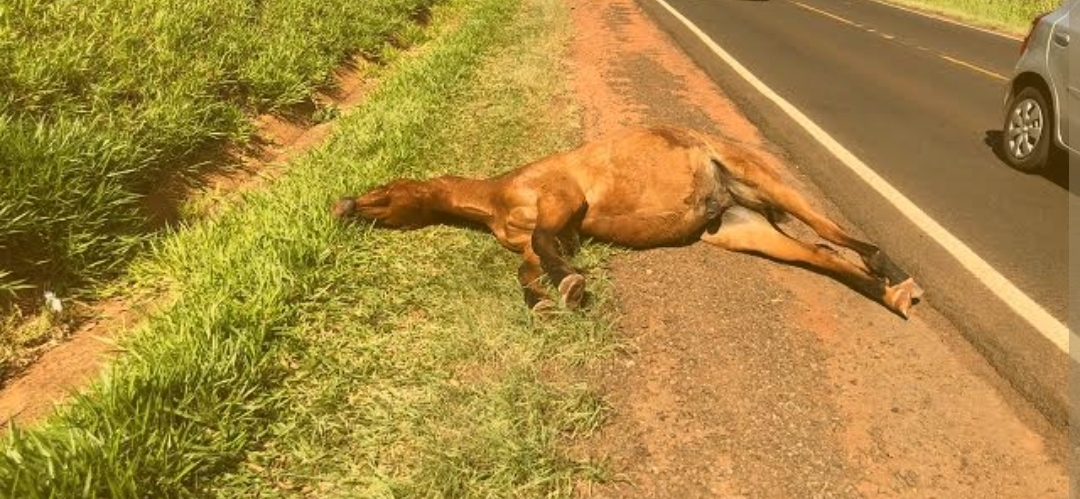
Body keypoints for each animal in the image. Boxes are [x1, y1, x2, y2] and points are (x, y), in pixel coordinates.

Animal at [332, 126, 923, 317]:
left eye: (385, 192)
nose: (345, 207)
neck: (502, 194)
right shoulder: (549, 238)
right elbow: (529, 268)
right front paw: (545, 301)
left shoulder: (562, 201)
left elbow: (545, 247)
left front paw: (570, 288)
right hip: (742, 230)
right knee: (820, 255)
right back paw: (891, 294)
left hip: (765, 181)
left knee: (828, 231)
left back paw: (895, 274)